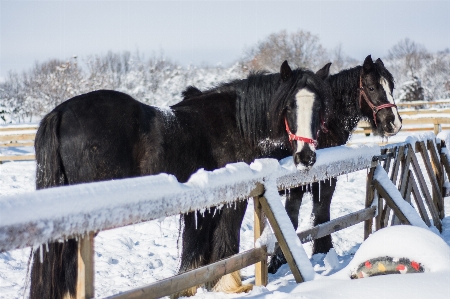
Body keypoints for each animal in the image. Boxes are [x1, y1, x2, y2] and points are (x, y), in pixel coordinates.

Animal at [29, 61, 334, 299]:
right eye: (289, 107)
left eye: (320, 105)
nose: (306, 156)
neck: (236, 122)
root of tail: (60, 113)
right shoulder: (232, 201)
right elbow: (224, 244)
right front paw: (229, 286)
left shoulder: (203, 207)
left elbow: (197, 250)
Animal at [268, 55, 402, 274]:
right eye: (372, 87)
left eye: (391, 86)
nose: (394, 123)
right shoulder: (301, 186)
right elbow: (300, 218)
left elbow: (320, 217)